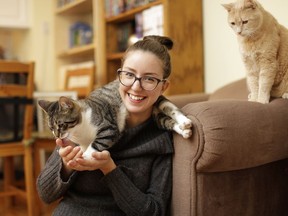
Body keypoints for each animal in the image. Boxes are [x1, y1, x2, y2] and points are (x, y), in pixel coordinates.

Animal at [37, 79, 191, 159]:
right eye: (51, 128)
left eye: (61, 125)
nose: (57, 135)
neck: (79, 132)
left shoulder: (109, 128)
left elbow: (96, 144)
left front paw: (83, 157)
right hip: (155, 117)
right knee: (165, 121)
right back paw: (184, 130)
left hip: (157, 101)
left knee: (171, 108)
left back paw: (185, 122)